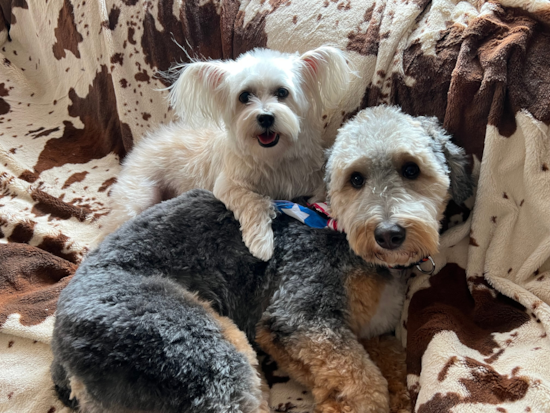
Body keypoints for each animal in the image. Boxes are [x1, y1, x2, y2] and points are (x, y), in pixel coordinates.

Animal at [51, 106, 474, 412]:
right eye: (356, 179)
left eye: (411, 169)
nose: (388, 234)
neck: (342, 234)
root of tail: (61, 344)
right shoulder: (299, 317)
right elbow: (364, 384)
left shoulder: (358, 335)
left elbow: (390, 366)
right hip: (201, 346)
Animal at [101, 46, 352, 260]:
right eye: (244, 96)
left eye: (282, 92)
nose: (265, 117)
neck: (273, 157)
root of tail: (138, 150)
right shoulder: (228, 185)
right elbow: (254, 201)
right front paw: (261, 243)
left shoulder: (310, 176)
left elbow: (322, 194)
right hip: (138, 197)